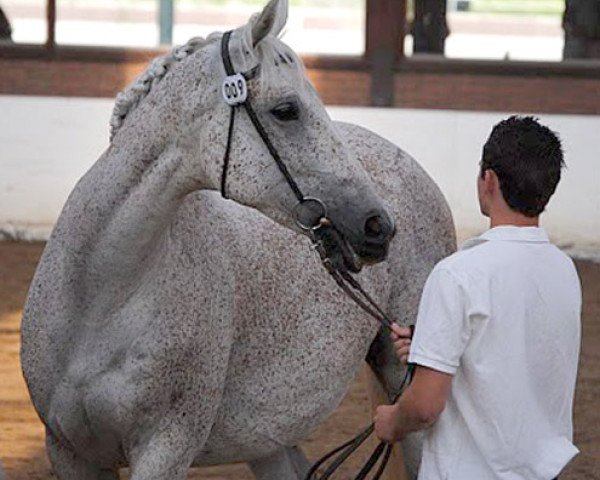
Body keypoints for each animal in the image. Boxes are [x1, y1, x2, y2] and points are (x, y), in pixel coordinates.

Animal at [22, 1, 454, 478]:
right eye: (286, 110)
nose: (378, 225)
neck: (100, 297)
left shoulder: (166, 448)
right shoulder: (68, 450)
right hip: (270, 438)